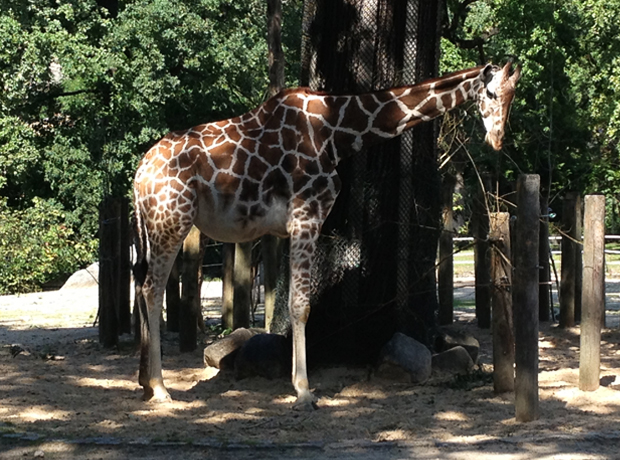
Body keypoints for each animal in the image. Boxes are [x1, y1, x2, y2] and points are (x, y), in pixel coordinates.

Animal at [133, 61, 520, 410]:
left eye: (512, 96)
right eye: (490, 93)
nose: (497, 139)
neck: (338, 133)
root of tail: (139, 175)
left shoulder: (295, 225)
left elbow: (297, 301)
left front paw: (299, 384)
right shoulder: (306, 216)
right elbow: (300, 305)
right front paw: (304, 391)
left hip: (154, 226)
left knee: (141, 286)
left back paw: (145, 383)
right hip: (172, 220)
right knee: (152, 290)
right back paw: (161, 389)